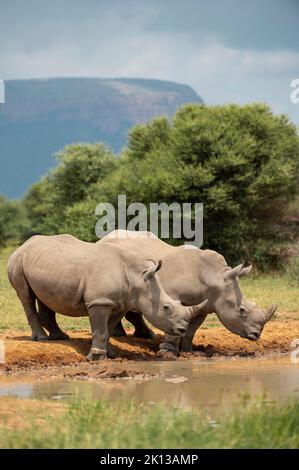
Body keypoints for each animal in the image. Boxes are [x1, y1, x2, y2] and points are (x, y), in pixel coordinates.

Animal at [7, 234, 209, 360]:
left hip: (45, 264)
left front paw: (111, 353)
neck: (137, 277)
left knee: (45, 297)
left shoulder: (119, 303)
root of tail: (24, 244)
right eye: (166, 307)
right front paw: (96, 358)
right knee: (25, 296)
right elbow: (101, 329)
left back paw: (60, 338)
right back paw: (42, 339)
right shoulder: (99, 302)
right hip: (17, 260)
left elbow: (108, 329)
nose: (182, 329)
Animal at [99, 229, 278, 354]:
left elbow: (192, 329)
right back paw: (119, 335)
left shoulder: (206, 305)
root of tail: (104, 238)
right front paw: (168, 352)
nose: (256, 334)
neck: (215, 277)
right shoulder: (172, 296)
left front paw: (188, 351)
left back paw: (146, 336)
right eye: (242, 310)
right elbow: (174, 319)